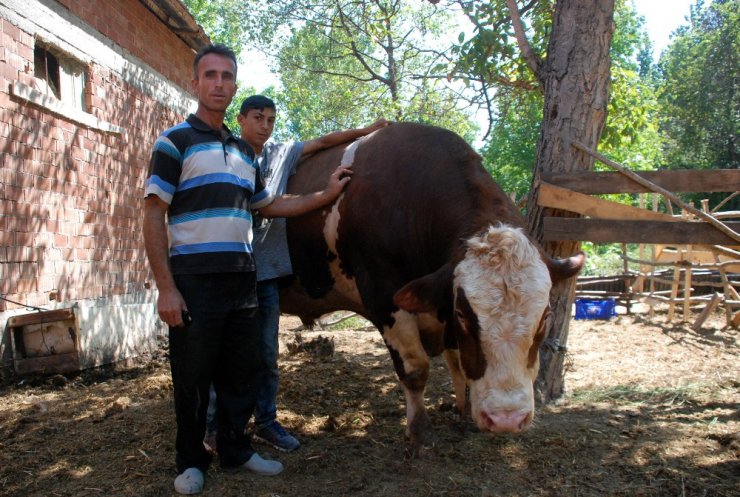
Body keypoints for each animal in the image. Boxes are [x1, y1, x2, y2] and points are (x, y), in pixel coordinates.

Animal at [278, 121, 584, 450]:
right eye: (463, 314)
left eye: (546, 316)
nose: (506, 419)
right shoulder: (384, 298)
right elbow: (416, 369)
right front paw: (419, 430)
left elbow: (457, 362)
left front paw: (462, 411)